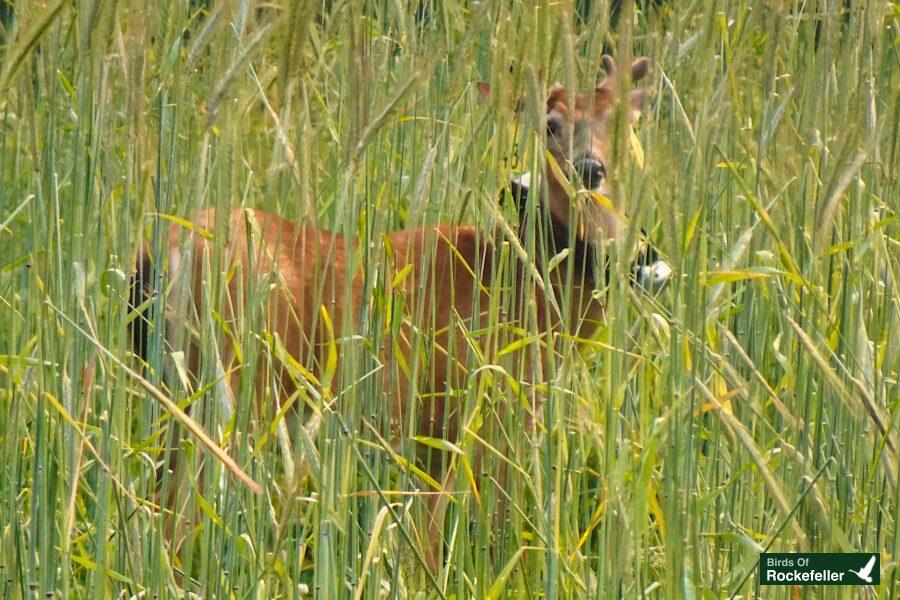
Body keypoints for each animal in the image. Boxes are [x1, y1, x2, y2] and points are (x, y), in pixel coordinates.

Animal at [128, 54, 660, 576]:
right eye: (550, 125)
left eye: (626, 123)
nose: (590, 168)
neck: (527, 285)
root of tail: (161, 251)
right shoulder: (493, 410)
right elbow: (485, 530)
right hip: (233, 387)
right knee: (178, 518)